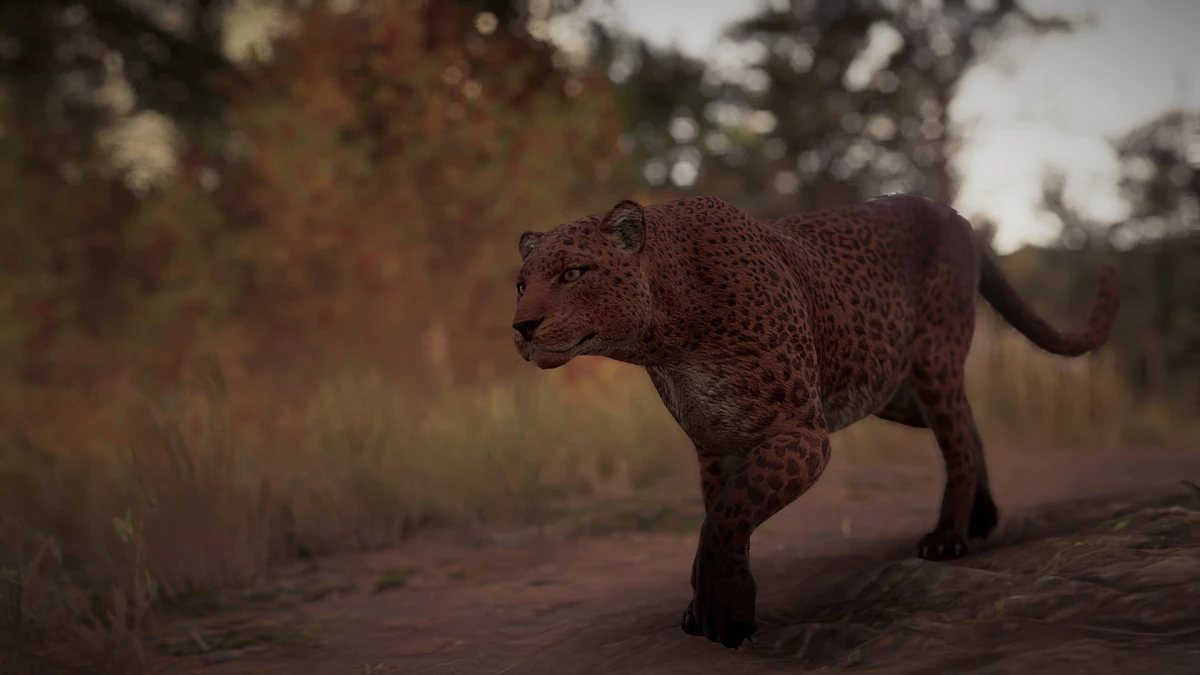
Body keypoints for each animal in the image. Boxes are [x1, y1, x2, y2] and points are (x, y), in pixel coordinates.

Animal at [511, 193, 1120, 650]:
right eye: (521, 283)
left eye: (573, 273)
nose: (522, 326)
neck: (667, 339)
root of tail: (953, 212)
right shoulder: (716, 447)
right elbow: (722, 518)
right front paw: (706, 604)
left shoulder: (802, 432)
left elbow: (727, 516)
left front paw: (725, 615)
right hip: (891, 388)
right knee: (966, 426)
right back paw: (982, 517)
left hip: (932, 360)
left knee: (958, 437)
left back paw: (948, 538)